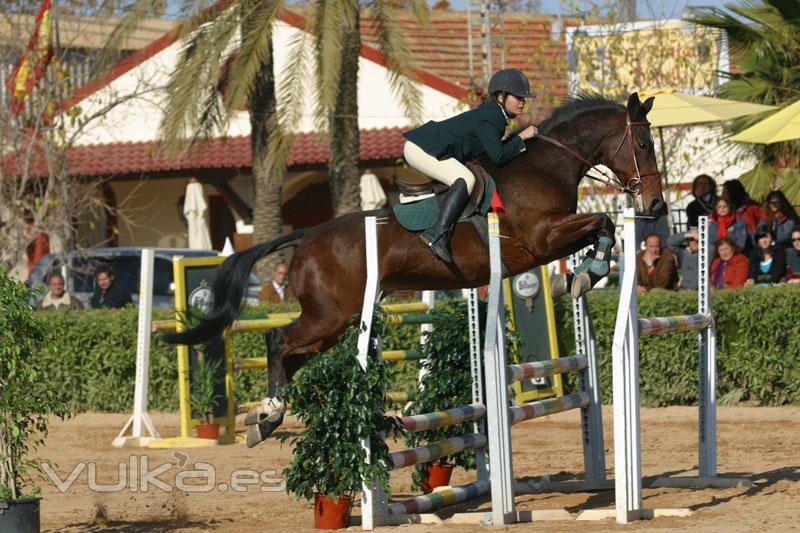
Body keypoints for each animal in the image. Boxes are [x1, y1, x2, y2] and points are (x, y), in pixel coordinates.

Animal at [167, 92, 664, 444]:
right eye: (643, 143)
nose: (657, 206)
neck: (542, 166)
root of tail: (305, 236)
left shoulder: (549, 240)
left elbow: (601, 230)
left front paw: (583, 275)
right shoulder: (541, 237)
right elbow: (603, 222)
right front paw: (586, 275)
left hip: (335, 322)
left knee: (292, 355)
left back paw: (265, 417)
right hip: (329, 315)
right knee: (278, 341)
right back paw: (269, 413)